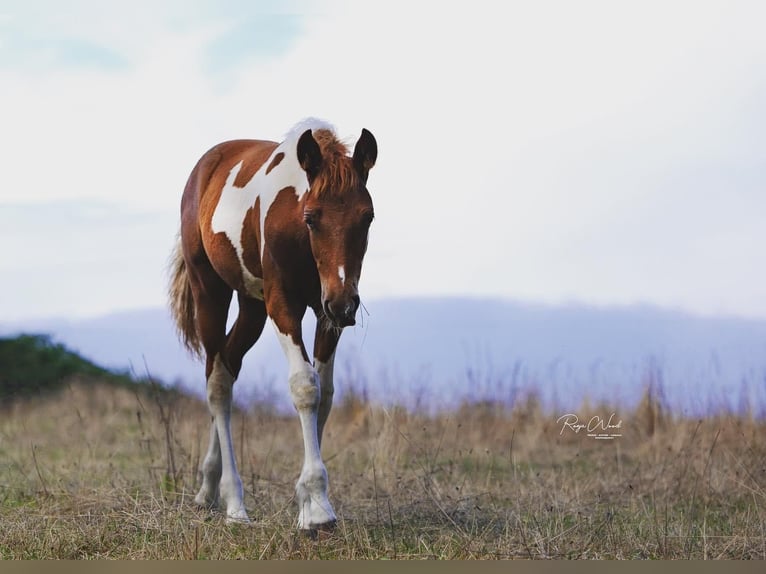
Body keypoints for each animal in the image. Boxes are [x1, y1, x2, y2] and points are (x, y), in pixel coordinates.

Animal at [168, 119, 378, 532]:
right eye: (311, 217)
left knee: (227, 365)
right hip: (210, 292)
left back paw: (208, 488)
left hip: (252, 308)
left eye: (367, 217)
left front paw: (310, 505)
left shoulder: (326, 313)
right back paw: (233, 503)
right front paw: (318, 510)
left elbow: (325, 393)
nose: (345, 305)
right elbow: (305, 387)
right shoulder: (283, 305)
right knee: (217, 384)